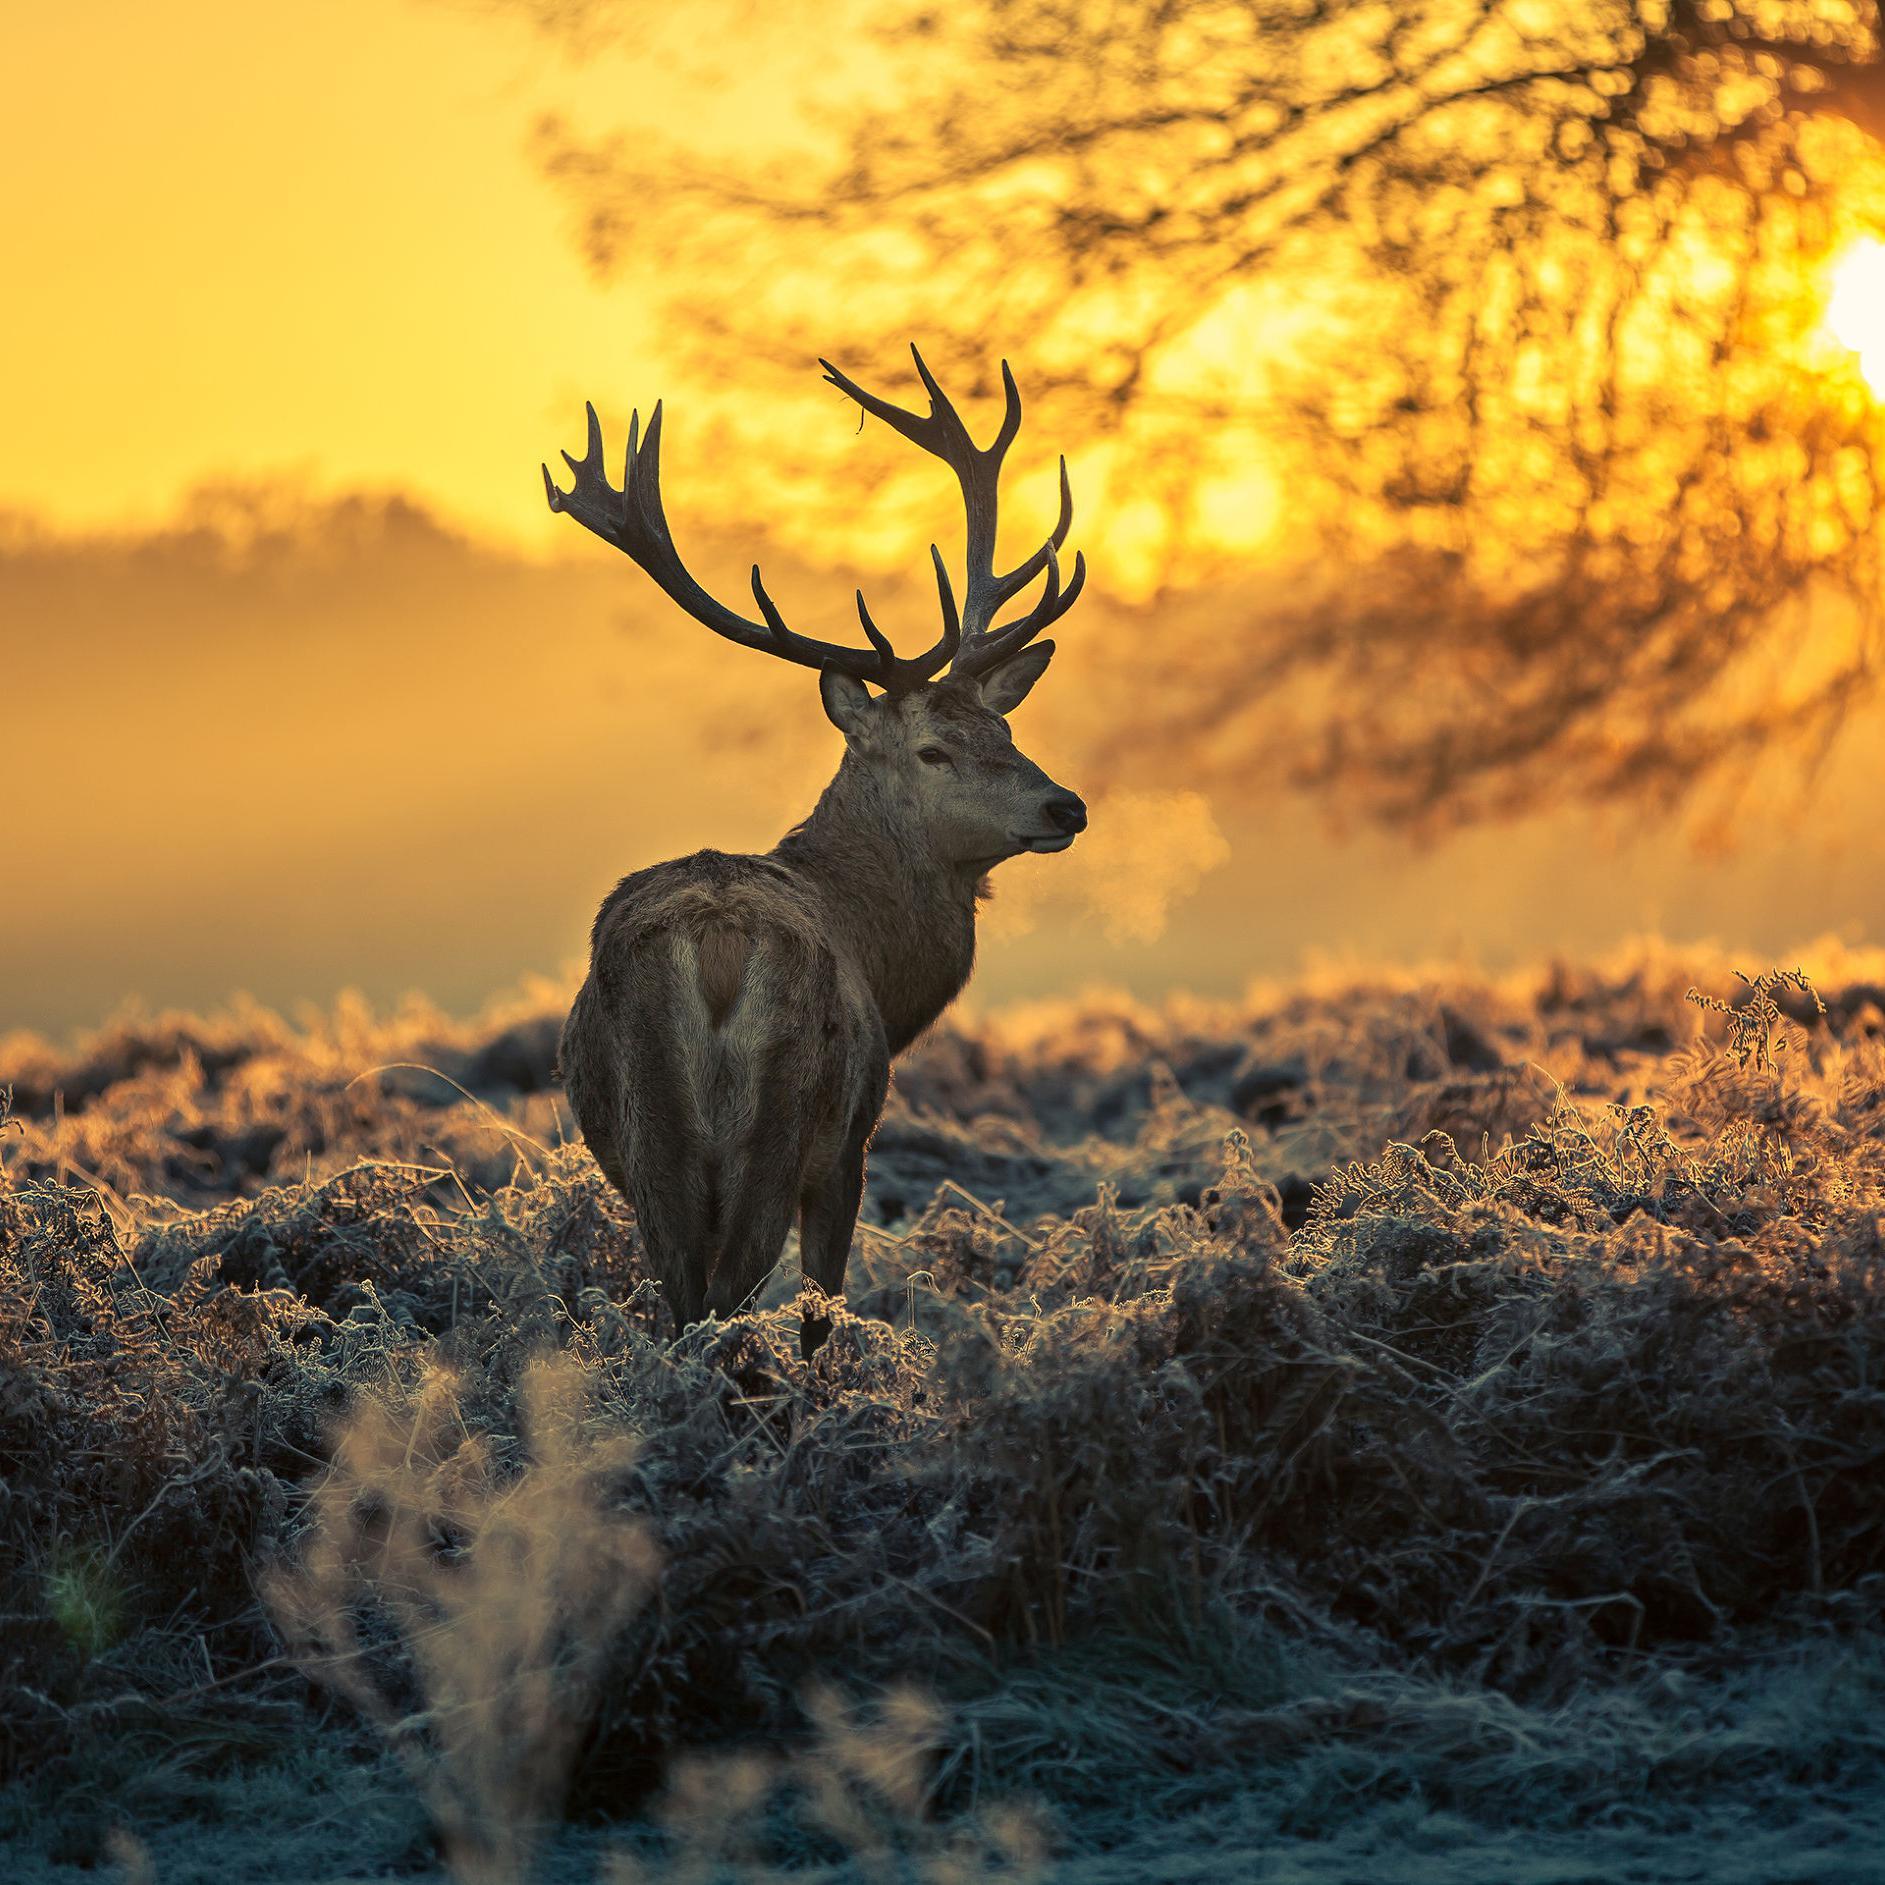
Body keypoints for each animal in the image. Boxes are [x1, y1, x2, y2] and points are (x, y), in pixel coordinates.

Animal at [542, 350, 1093, 1357]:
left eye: (1003, 727)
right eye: (933, 749)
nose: (1063, 803)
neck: (883, 959)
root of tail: (714, 947)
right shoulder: (852, 1142)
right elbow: (820, 1306)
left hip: (650, 1140)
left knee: (683, 1297)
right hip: (784, 1117)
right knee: (730, 1294)